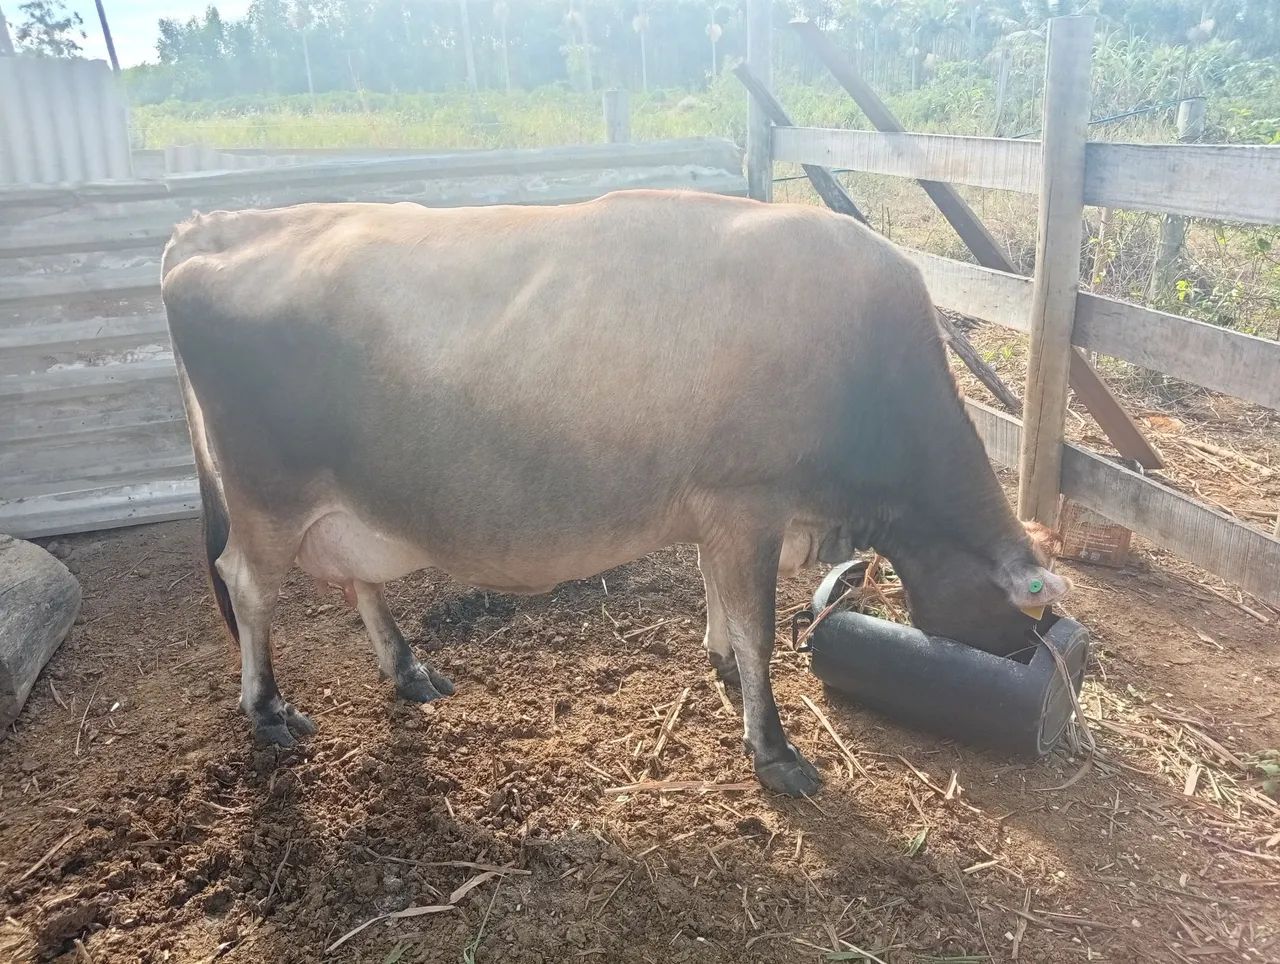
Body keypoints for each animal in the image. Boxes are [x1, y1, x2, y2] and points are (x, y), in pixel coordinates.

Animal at [160, 191, 1068, 797]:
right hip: (269, 496)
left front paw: (718, 660)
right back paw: (268, 708)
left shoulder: (721, 510)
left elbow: (720, 603)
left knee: (357, 577)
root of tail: (211, 229)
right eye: (1024, 614)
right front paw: (774, 749)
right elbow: (759, 631)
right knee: (247, 586)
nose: (1031, 661)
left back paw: (409, 668)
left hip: (349, 499)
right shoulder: (749, 500)